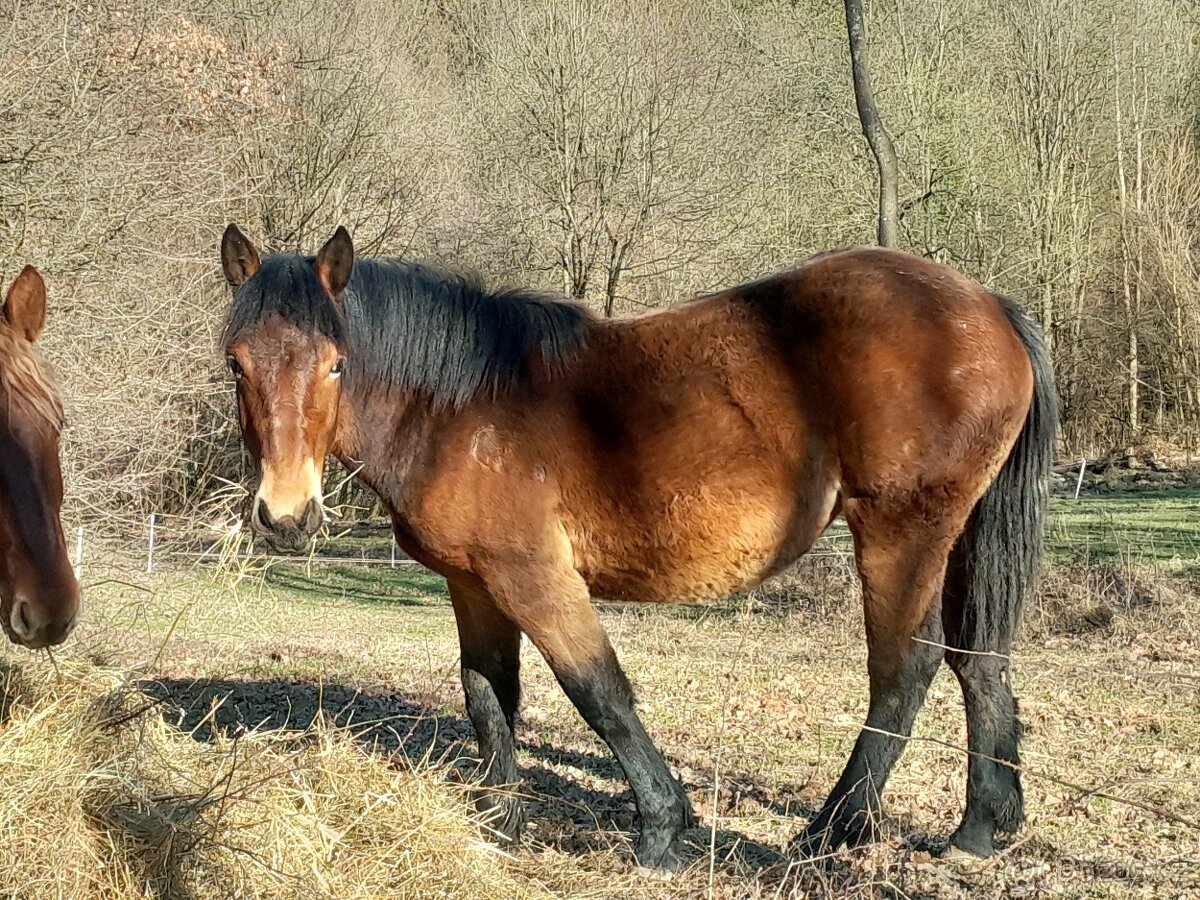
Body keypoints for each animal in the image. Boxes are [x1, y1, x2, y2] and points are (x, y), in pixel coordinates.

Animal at [220, 225, 1056, 873]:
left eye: (335, 362)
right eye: (237, 362)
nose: (286, 516)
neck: (460, 406)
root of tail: (988, 307)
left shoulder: (534, 576)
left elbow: (599, 693)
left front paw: (660, 829)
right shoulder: (475, 584)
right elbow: (488, 694)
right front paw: (501, 823)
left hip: (901, 531)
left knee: (905, 670)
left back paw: (827, 834)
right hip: (959, 534)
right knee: (979, 662)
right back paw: (979, 829)